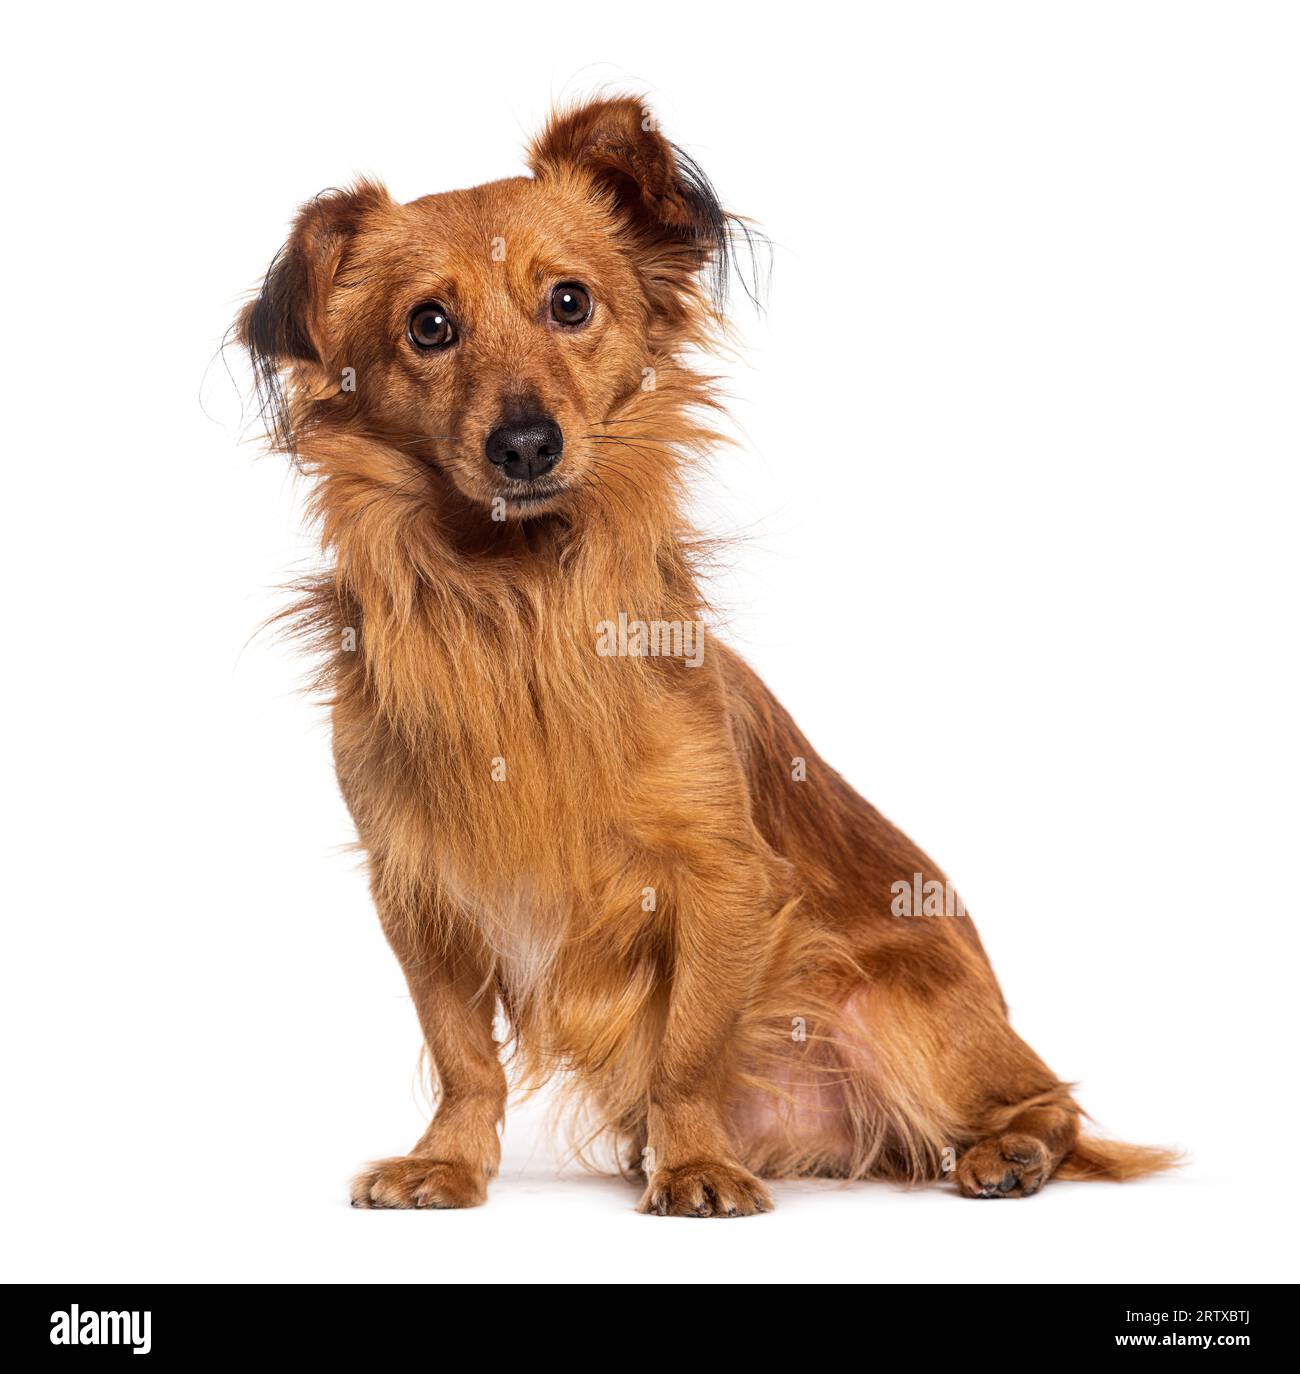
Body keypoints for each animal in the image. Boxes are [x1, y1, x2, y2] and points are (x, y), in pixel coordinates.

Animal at [234, 96, 1176, 1214]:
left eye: (569, 303)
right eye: (429, 326)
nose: (526, 445)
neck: (516, 598)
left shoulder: (722, 878)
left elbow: (687, 1049)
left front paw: (692, 1164)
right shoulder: (419, 890)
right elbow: (463, 1054)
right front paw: (449, 1162)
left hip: (905, 1010)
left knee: (1052, 1104)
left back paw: (1011, 1153)